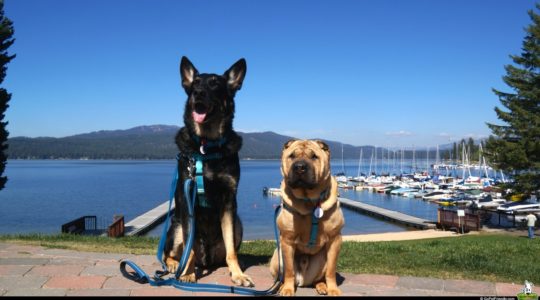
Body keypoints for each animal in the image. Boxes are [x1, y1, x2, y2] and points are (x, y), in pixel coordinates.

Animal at [163, 57, 254, 288]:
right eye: (195, 83)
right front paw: (187, 274)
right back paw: (175, 266)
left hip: (238, 223)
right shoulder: (186, 200)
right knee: (174, 253)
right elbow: (188, 249)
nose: (198, 93)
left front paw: (238, 274)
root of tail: (207, 258)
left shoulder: (229, 200)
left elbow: (231, 251)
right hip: (175, 226)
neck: (206, 145)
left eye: (215, 84)